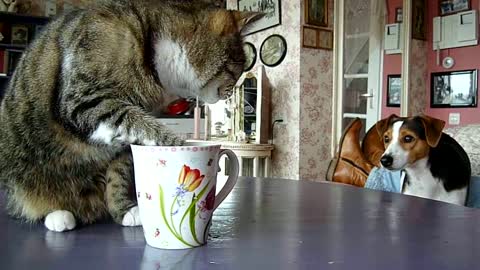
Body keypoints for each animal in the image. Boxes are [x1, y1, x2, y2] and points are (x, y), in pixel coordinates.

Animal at [0, 0, 258, 232]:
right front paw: (180, 146)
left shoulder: (124, 141)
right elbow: (146, 127)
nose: (233, 92)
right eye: (236, 70)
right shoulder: (84, 101)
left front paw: (123, 210)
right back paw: (56, 214)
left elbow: (119, 172)